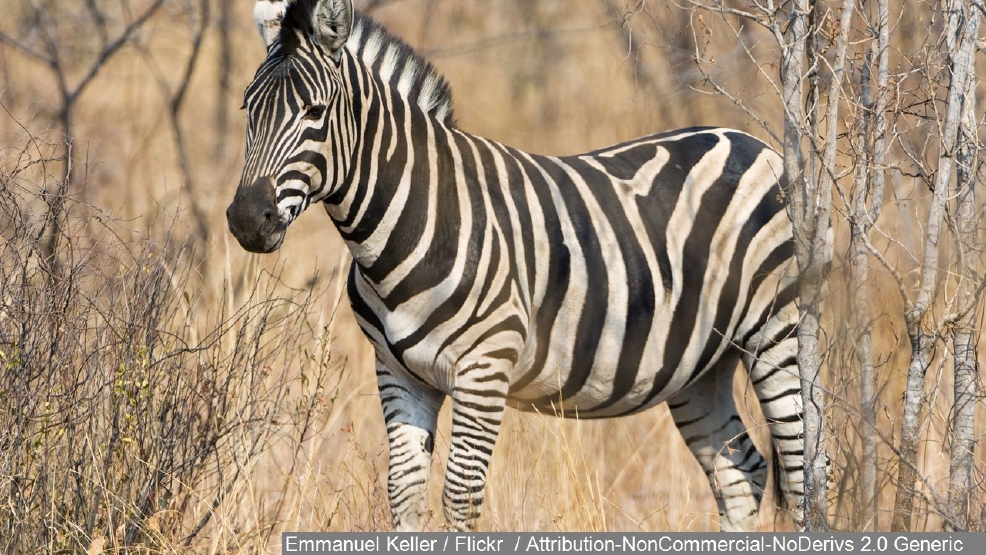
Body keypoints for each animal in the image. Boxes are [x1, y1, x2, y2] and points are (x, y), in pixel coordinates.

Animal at [227, 0, 804, 536]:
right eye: (246, 109)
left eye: (315, 112)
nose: (247, 220)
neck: (410, 222)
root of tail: (748, 141)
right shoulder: (397, 373)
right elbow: (404, 490)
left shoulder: (485, 369)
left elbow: (460, 497)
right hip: (698, 365)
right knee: (740, 474)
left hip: (777, 335)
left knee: (798, 473)